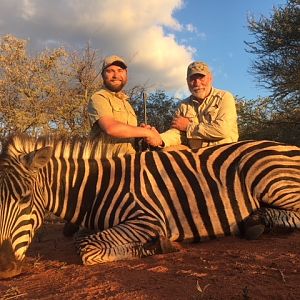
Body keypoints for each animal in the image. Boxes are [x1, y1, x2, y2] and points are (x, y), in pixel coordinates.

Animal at [0, 134, 298, 278]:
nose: (4, 269)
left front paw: (156, 246)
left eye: (25, 198)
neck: (96, 188)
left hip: (271, 179)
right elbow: (85, 238)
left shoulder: (148, 217)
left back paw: (258, 223)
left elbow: (85, 247)